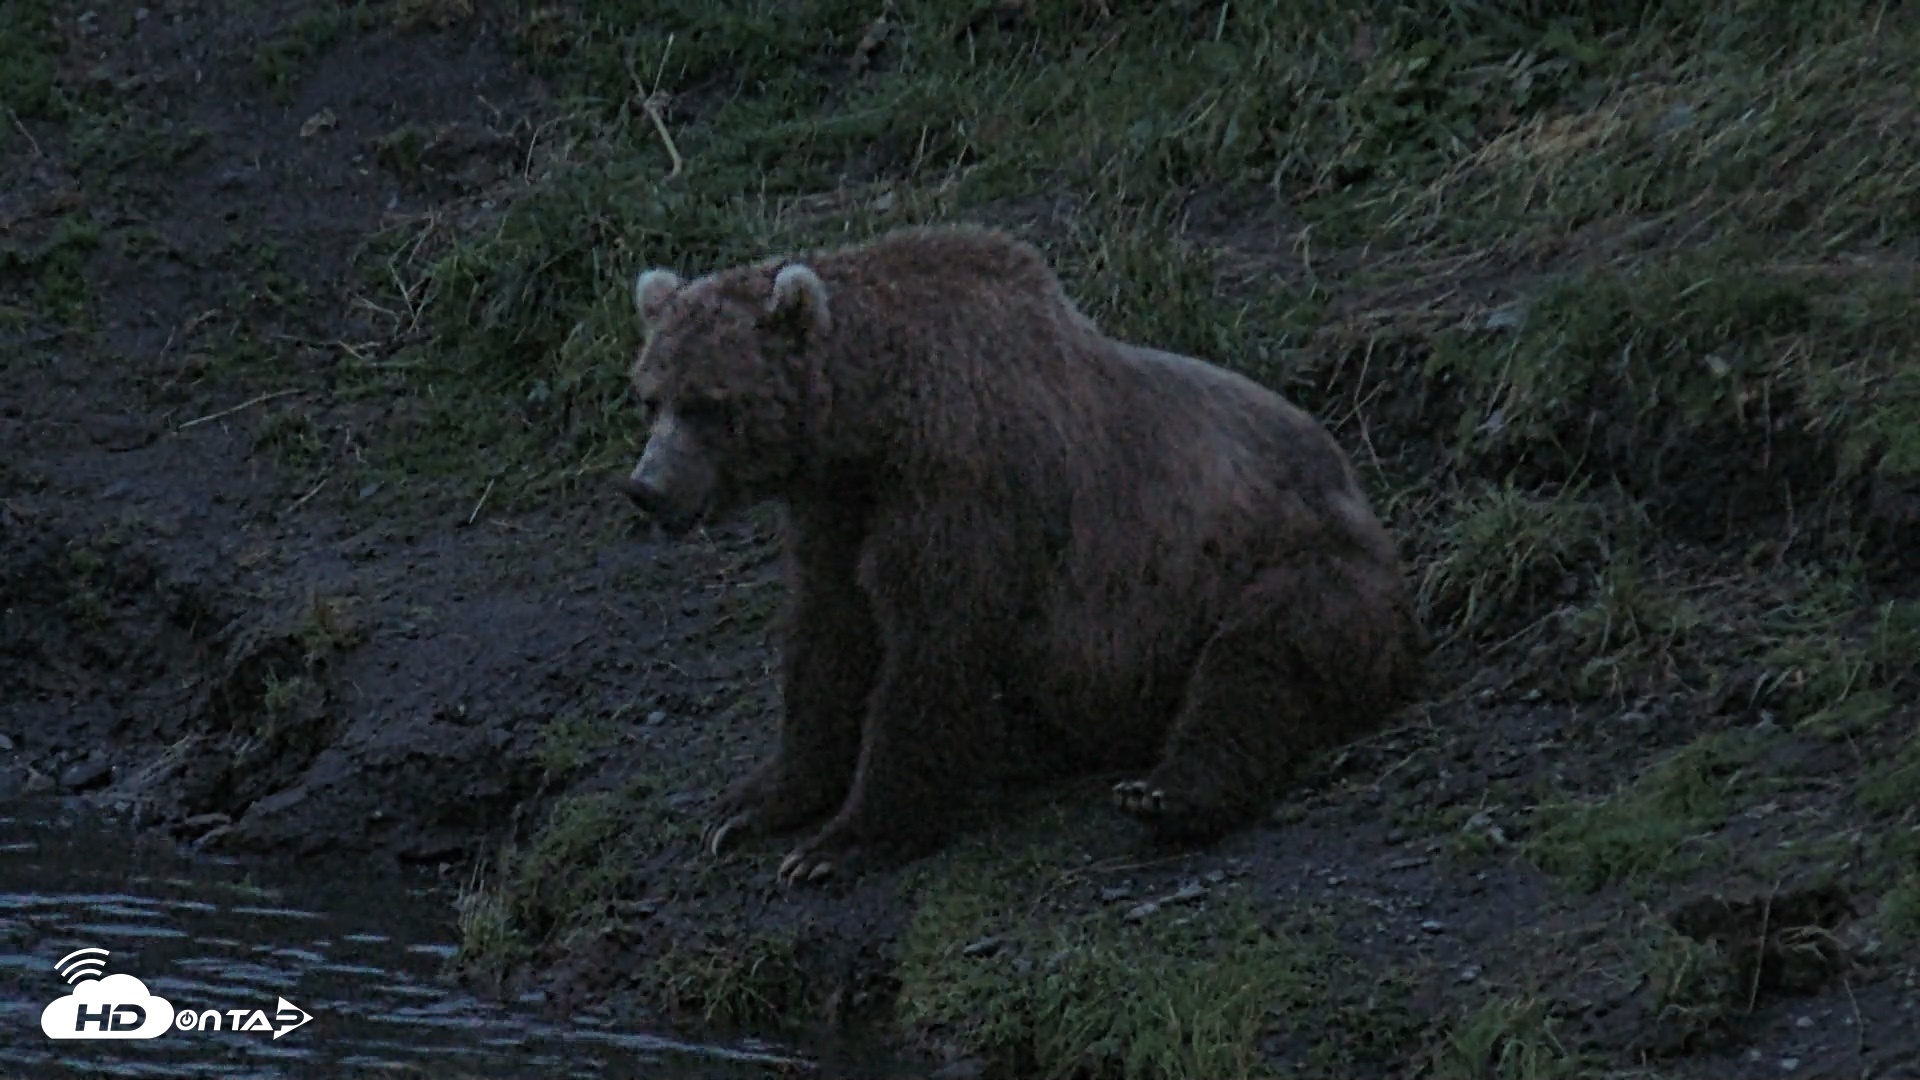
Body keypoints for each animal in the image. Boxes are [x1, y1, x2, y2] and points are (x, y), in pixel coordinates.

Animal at [620, 224, 1427, 888]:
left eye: (711, 403)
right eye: (651, 396)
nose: (647, 489)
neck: (875, 418)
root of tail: (1355, 481)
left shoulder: (964, 480)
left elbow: (931, 645)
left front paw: (840, 843)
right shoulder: (837, 508)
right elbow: (829, 634)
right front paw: (751, 801)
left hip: (1295, 562)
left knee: (1258, 661)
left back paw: (1164, 791)